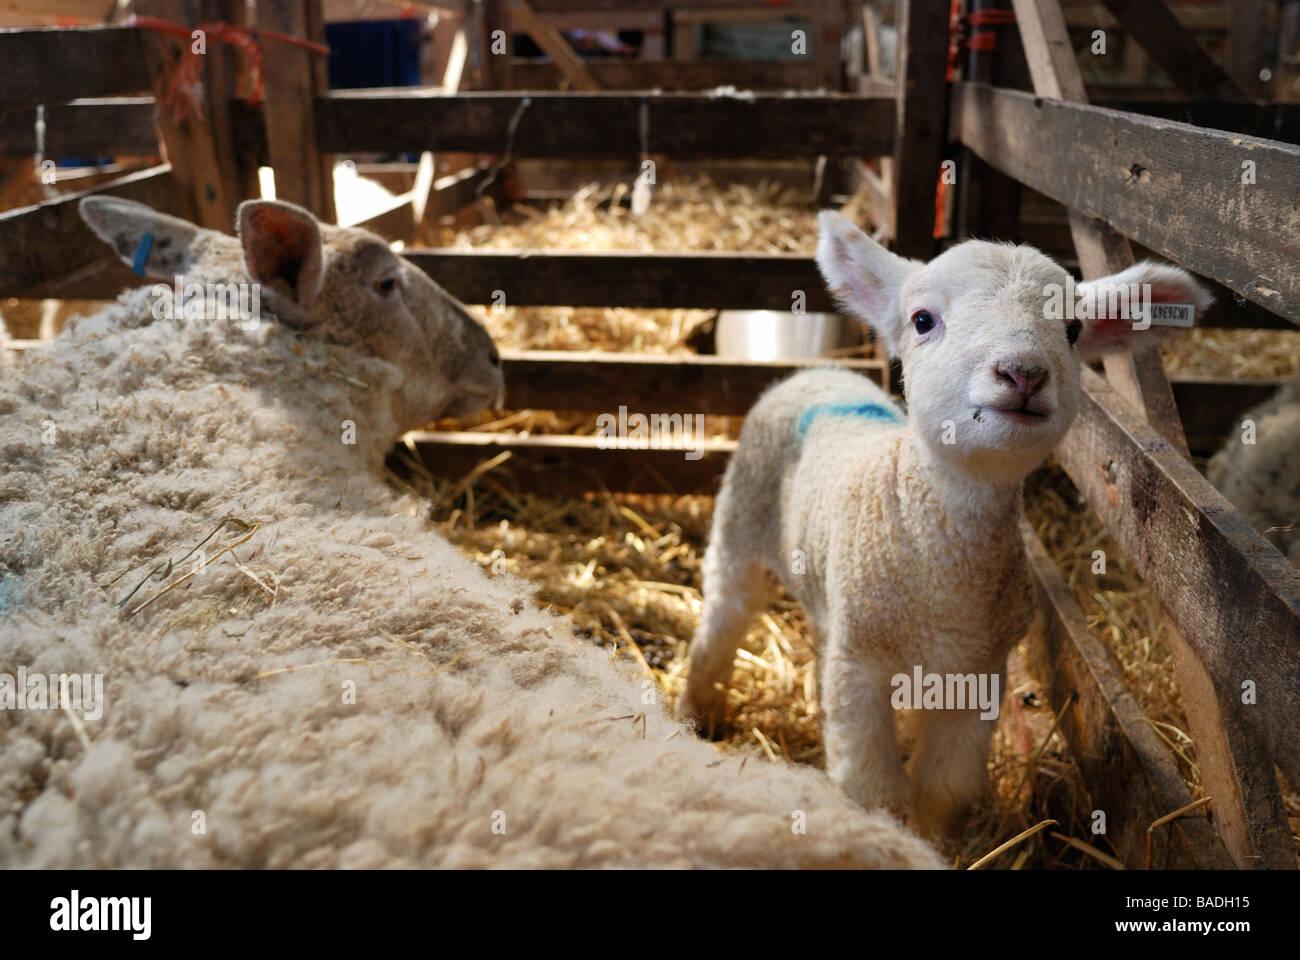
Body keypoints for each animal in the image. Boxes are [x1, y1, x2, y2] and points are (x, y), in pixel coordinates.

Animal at [679, 211, 1210, 841]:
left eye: (1074, 329)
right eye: (922, 320)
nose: (1023, 374)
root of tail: (818, 374)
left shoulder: (977, 671)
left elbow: (946, 787)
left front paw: (936, 843)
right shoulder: (859, 665)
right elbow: (873, 791)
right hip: (740, 524)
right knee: (722, 619)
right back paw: (695, 713)